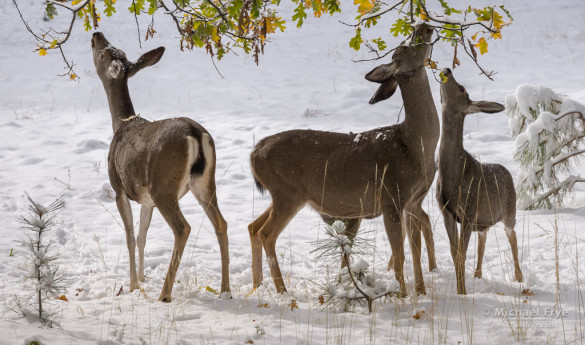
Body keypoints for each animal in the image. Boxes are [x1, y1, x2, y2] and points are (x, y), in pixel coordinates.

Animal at [90, 32, 229, 300]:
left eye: (103, 54)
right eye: (114, 49)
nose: (96, 34)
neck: (121, 124)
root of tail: (195, 134)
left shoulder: (119, 188)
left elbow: (129, 236)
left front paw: (132, 285)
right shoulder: (146, 199)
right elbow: (142, 235)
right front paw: (143, 278)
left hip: (163, 185)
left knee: (183, 227)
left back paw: (165, 294)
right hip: (205, 182)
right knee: (221, 223)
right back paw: (225, 290)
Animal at [248, 24, 438, 294]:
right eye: (403, 49)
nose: (423, 27)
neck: (414, 146)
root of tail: (255, 153)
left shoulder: (413, 201)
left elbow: (415, 250)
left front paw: (420, 292)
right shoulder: (391, 196)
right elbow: (400, 253)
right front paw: (402, 294)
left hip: (281, 193)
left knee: (253, 226)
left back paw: (257, 286)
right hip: (288, 191)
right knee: (267, 233)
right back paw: (283, 291)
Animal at [436, 68, 524, 294]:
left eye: (461, 88)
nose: (447, 69)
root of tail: (506, 170)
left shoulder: (468, 209)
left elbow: (461, 253)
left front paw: (462, 292)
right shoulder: (446, 211)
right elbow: (454, 253)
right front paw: (461, 290)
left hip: (509, 210)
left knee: (512, 235)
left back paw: (519, 277)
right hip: (482, 219)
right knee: (483, 239)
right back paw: (477, 275)